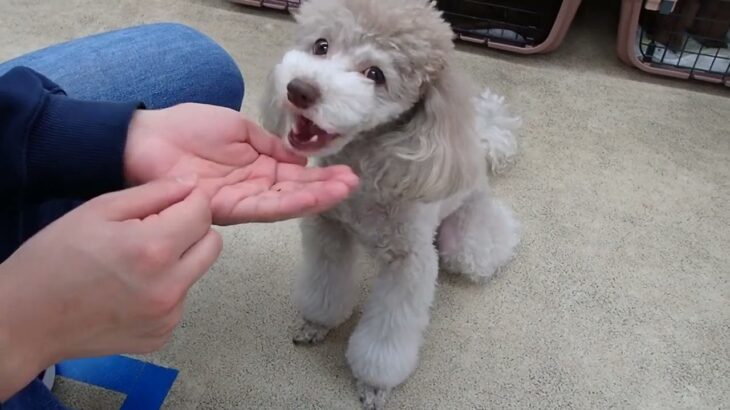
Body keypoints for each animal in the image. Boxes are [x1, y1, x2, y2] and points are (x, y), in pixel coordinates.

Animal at [258, 0, 520, 406]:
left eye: (375, 74)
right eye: (321, 46)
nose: (298, 90)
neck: (366, 169)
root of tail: (481, 142)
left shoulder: (410, 266)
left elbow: (386, 339)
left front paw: (374, 384)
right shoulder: (328, 231)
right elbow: (324, 290)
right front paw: (317, 324)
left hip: (462, 241)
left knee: (490, 246)